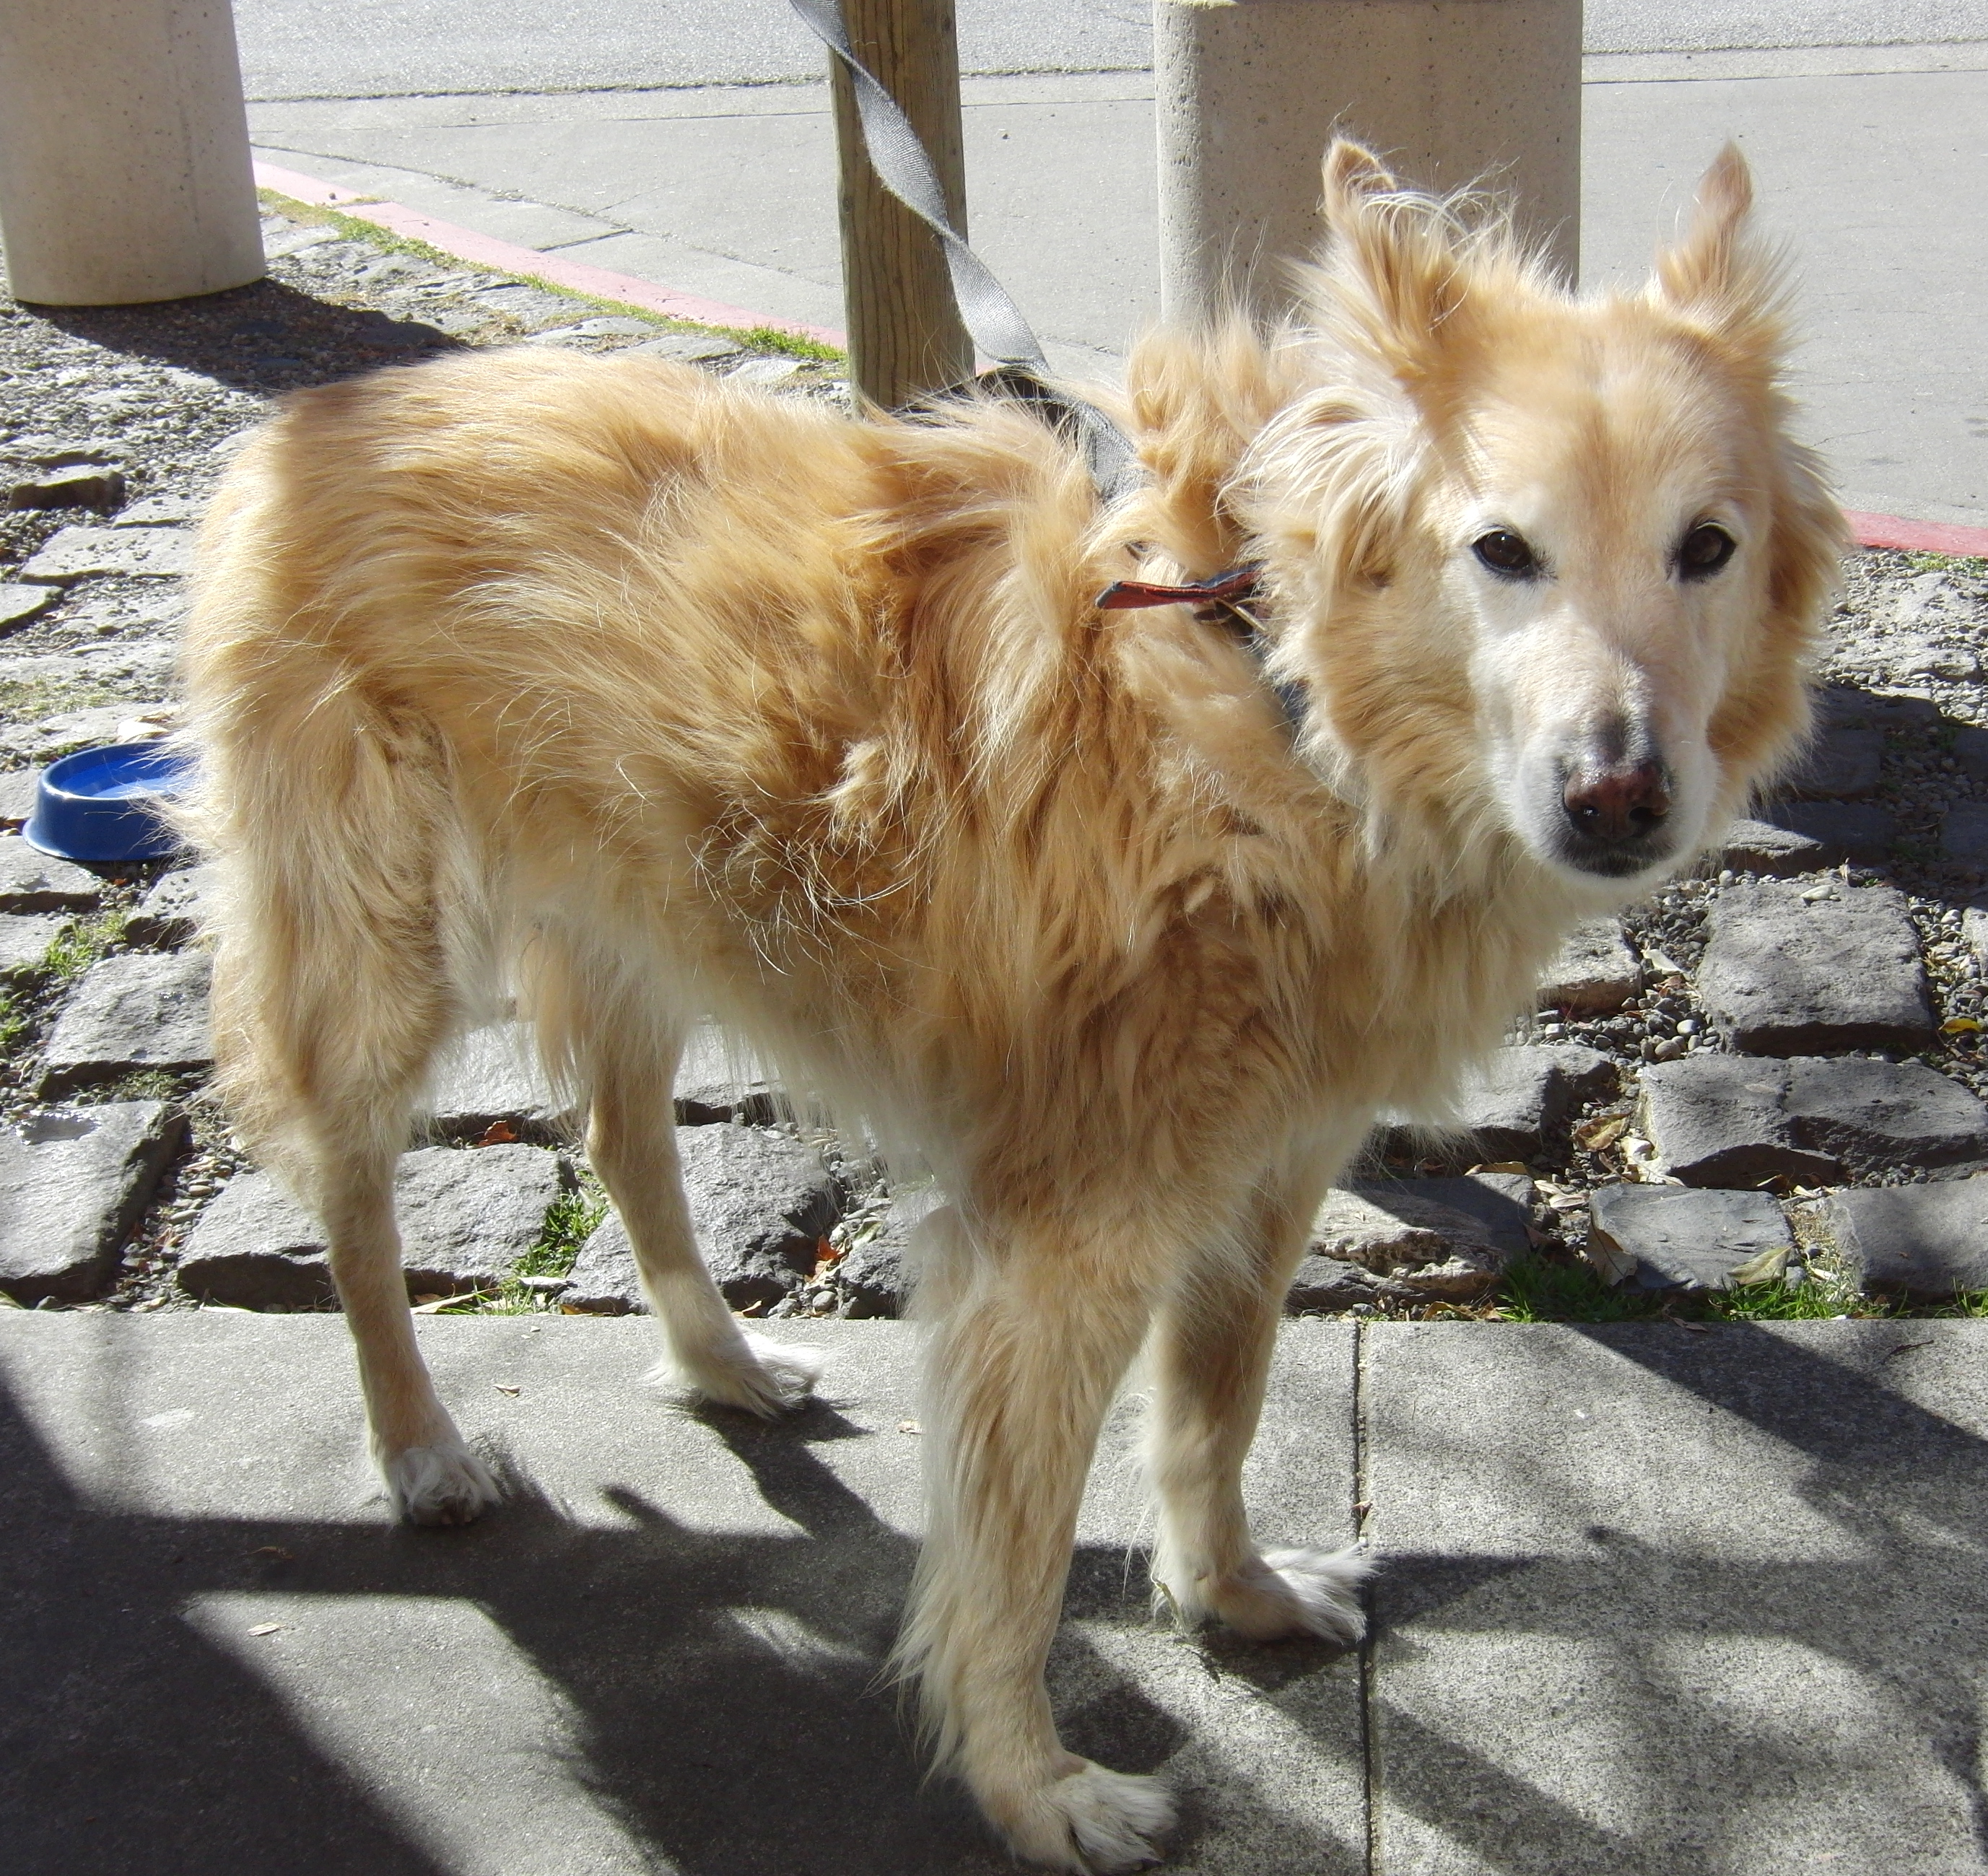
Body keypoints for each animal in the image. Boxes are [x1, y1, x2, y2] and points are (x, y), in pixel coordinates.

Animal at [183, 143, 1828, 1859]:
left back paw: (719, 1358)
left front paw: (1231, 1593)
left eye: (1707, 548)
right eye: (1501, 548)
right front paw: (1032, 1787)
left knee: (625, 1146)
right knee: (357, 1207)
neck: (1277, 696)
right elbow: (1014, 1560)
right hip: (374, 959)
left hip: (638, 927)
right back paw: (420, 1444)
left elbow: (1216, 1415)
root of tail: (316, 415)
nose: (1619, 797)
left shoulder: (1266, 1173)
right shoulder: (1053, 1249)